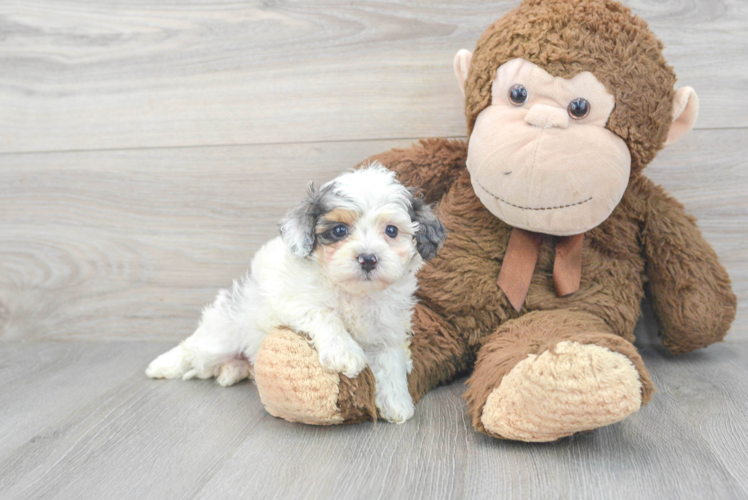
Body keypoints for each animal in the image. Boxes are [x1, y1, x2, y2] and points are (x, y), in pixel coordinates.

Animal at [149, 164, 448, 422]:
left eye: (391, 230)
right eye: (339, 230)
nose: (368, 259)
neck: (355, 293)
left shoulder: (389, 327)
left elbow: (391, 359)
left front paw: (398, 402)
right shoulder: (293, 300)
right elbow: (325, 315)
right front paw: (344, 352)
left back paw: (231, 371)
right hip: (223, 335)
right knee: (195, 350)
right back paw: (163, 365)